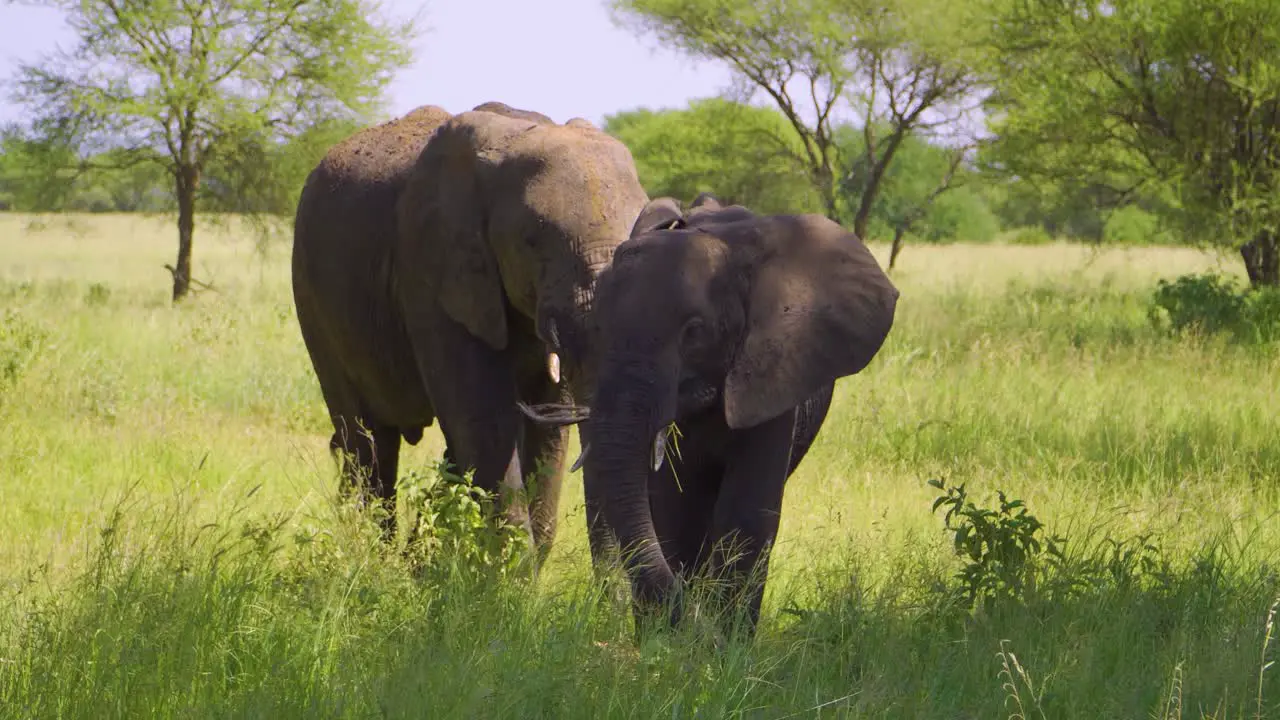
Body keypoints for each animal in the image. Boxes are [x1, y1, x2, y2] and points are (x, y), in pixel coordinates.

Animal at [294, 102, 665, 548]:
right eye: (531, 241)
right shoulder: (431, 267)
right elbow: (485, 424)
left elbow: (547, 431)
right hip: (313, 299)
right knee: (366, 442)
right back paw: (372, 554)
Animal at [519, 193, 901, 630]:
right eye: (598, 328)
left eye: (695, 332)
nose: (690, 617)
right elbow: (675, 512)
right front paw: (665, 639)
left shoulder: (774, 372)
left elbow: (745, 516)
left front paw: (723, 641)